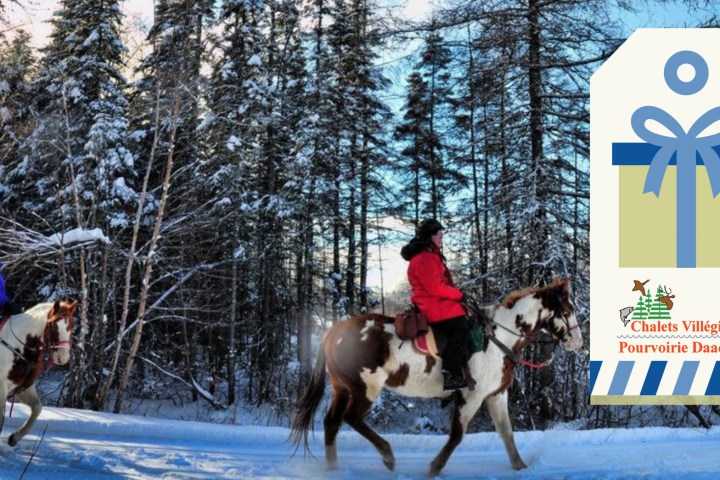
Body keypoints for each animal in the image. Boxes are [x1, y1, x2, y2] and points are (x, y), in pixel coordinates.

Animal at [0, 300, 76, 446]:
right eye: (54, 326)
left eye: (71, 326)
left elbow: (37, 408)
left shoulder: (24, 387)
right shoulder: (2, 388)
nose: (63, 357)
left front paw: (15, 437)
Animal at [290, 280, 584, 474]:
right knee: (351, 418)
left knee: (331, 423)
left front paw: (520, 466)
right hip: (365, 387)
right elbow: (457, 435)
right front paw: (433, 467)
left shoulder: (496, 395)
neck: (498, 337)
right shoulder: (471, 395)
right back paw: (387, 455)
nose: (578, 342)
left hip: (342, 388)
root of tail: (334, 330)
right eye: (567, 311)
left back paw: (332, 468)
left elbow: (506, 433)